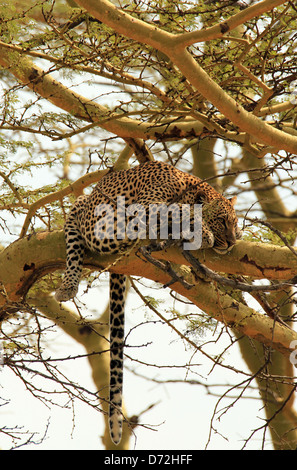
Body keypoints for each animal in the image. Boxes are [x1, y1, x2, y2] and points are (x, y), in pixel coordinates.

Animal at [55, 162, 240, 444]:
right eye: (221, 221)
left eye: (234, 222)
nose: (232, 241)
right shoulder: (146, 205)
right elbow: (180, 212)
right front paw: (203, 231)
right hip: (89, 217)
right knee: (74, 246)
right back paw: (67, 285)